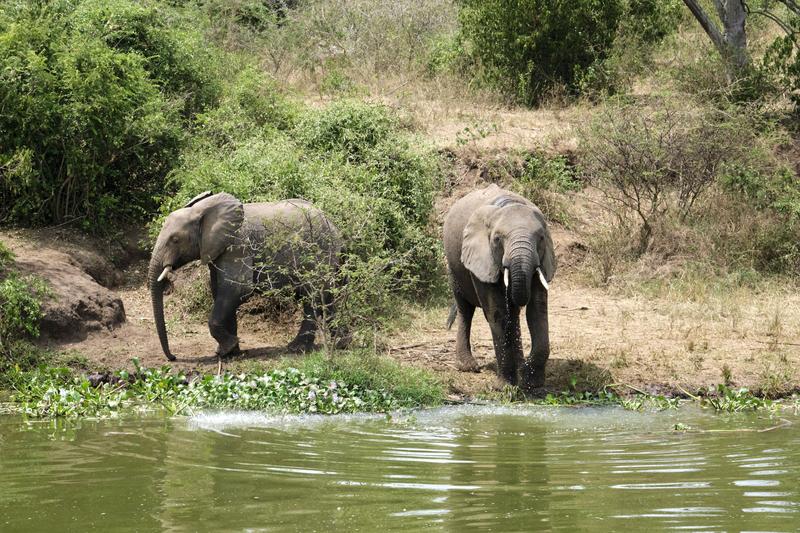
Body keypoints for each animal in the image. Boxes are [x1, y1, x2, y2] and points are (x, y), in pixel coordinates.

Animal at [148, 191, 346, 362]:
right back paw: (342, 345)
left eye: (175, 240)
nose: (173, 357)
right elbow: (220, 291)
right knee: (328, 295)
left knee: (311, 295)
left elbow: (237, 289)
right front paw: (230, 353)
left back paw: (296, 348)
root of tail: (334, 226)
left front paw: (228, 349)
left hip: (319, 251)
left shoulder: (237, 244)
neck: (202, 210)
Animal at [440, 184, 552, 390]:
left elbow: (537, 310)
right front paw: (506, 387)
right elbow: (497, 311)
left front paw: (530, 380)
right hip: (454, 265)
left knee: (513, 314)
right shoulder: (482, 256)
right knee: (465, 309)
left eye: (541, 238)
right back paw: (468, 366)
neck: (508, 204)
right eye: (498, 239)